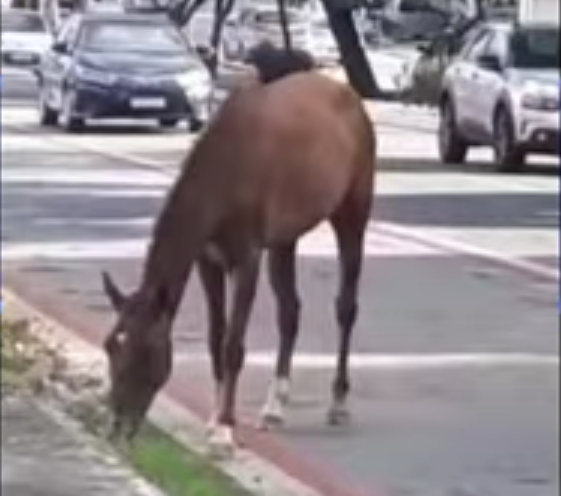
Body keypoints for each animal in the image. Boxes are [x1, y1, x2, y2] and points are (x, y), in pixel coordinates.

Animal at [100, 45, 376, 454]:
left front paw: (226, 428)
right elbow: (216, 338)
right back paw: (274, 406)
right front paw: (214, 419)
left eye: (148, 349)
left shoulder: (246, 257)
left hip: (352, 212)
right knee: (289, 311)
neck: (225, 171)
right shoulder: (208, 259)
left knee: (346, 306)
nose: (117, 427)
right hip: (285, 238)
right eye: (110, 346)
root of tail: (351, 96)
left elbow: (233, 343)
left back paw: (338, 402)